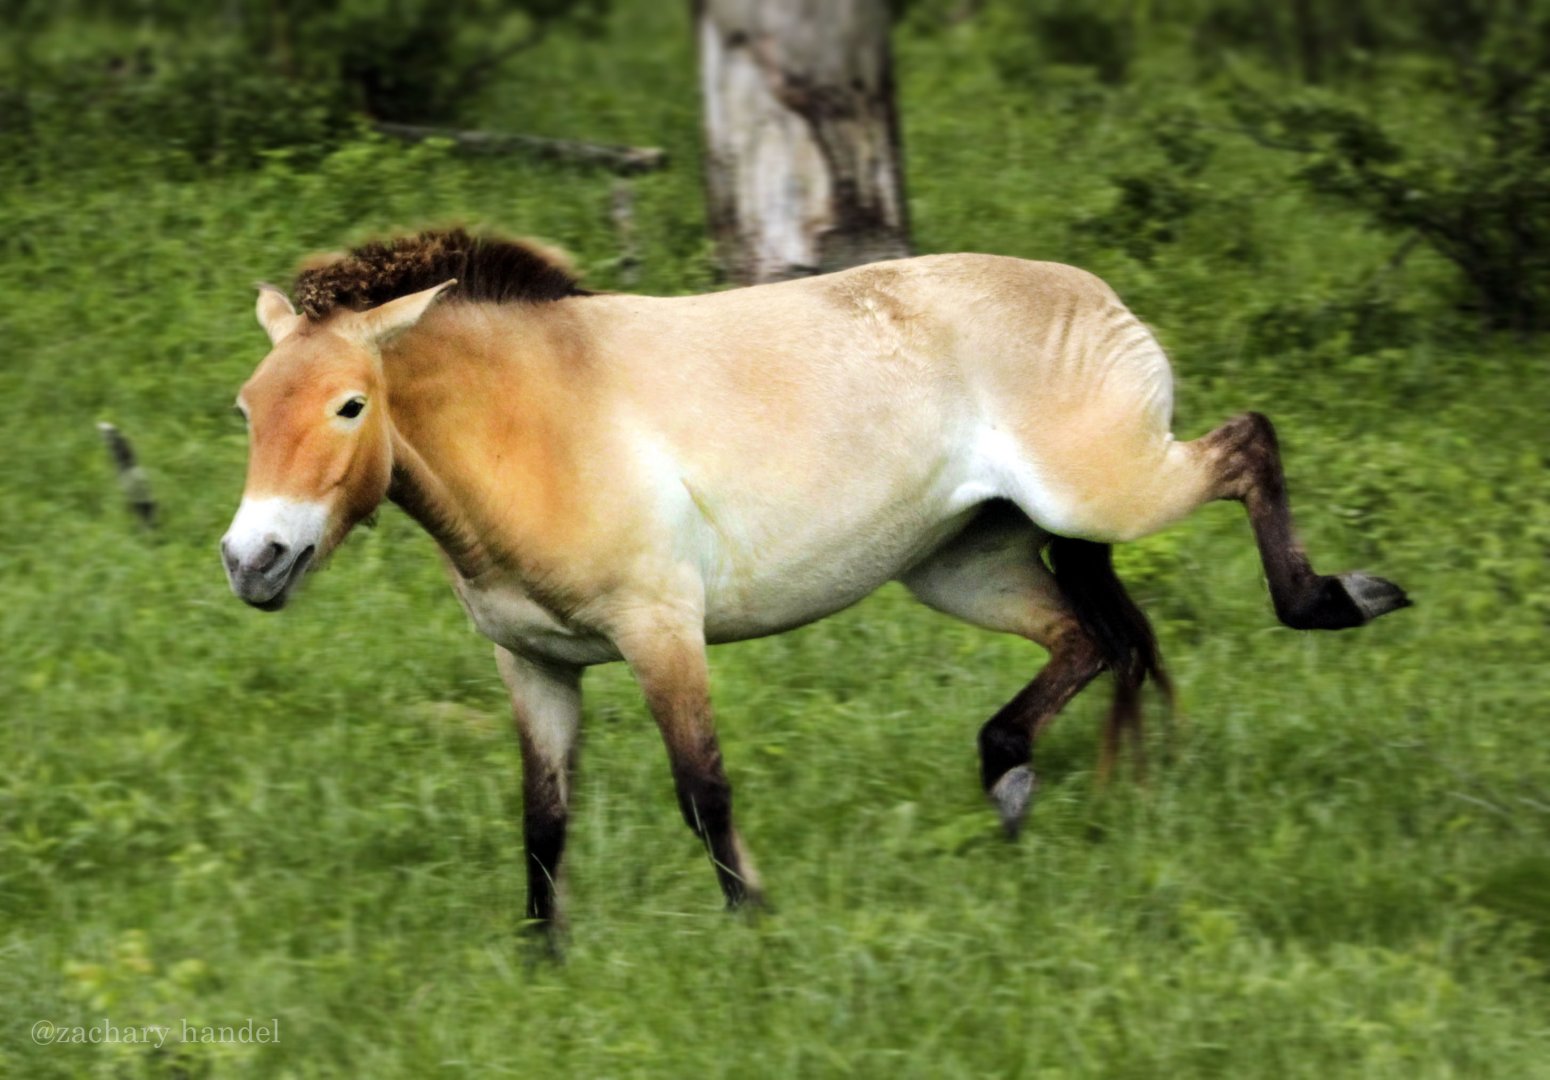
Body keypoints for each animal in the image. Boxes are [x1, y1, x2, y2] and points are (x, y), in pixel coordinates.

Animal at [221, 229, 1409, 931]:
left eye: (349, 406)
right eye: (246, 407)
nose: (252, 562)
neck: (538, 424)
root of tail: (1100, 298)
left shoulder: (661, 634)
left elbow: (702, 793)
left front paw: (753, 933)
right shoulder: (536, 667)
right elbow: (543, 823)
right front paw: (540, 968)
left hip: (1103, 495)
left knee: (1244, 447)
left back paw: (1336, 598)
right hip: (963, 564)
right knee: (1090, 638)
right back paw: (1009, 780)